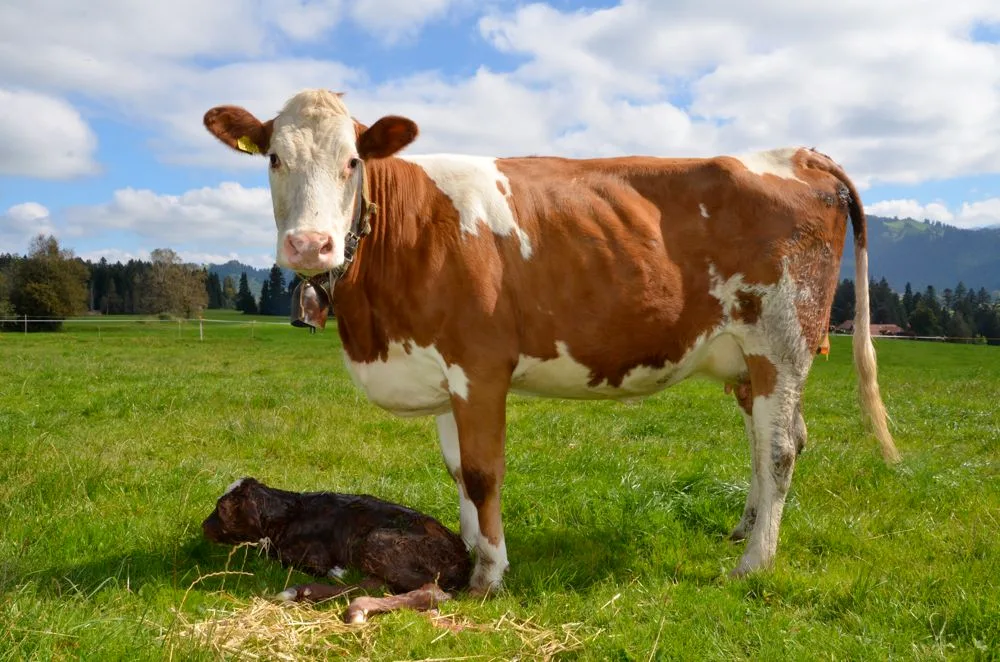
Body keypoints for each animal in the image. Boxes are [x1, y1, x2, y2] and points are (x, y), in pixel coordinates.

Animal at [202, 89, 900, 595]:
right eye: (273, 159)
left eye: (353, 161)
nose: (309, 245)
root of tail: (799, 153)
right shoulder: (441, 373)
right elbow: (457, 469)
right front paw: (465, 548)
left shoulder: (479, 366)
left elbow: (483, 470)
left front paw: (488, 574)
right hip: (747, 361)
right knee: (766, 442)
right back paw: (742, 532)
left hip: (781, 339)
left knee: (779, 449)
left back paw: (754, 564)